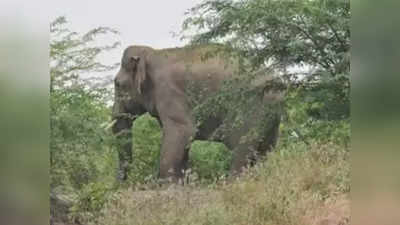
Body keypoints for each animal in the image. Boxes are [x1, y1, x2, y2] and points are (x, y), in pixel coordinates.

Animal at [111, 44, 282, 182]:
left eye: (117, 84)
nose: (122, 181)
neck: (151, 53)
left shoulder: (169, 93)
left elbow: (182, 131)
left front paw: (168, 185)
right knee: (264, 150)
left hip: (247, 106)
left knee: (241, 147)